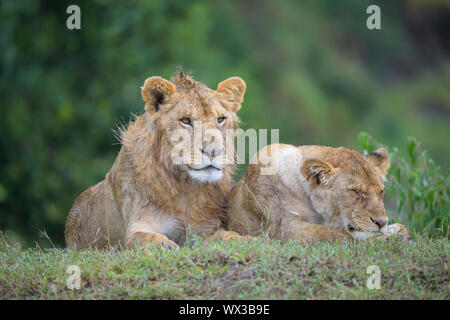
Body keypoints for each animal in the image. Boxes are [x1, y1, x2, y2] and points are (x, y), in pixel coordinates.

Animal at [65, 70, 250, 250]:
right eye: (185, 120)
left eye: (220, 119)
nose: (213, 151)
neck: (186, 187)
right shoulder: (137, 225)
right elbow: (143, 237)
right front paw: (165, 245)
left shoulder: (203, 229)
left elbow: (225, 236)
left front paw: (243, 240)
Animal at [227, 144, 410, 241]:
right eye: (356, 191)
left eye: (381, 192)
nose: (382, 223)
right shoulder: (284, 230)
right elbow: (336, 233)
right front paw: (383, 237)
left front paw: (396, 231)